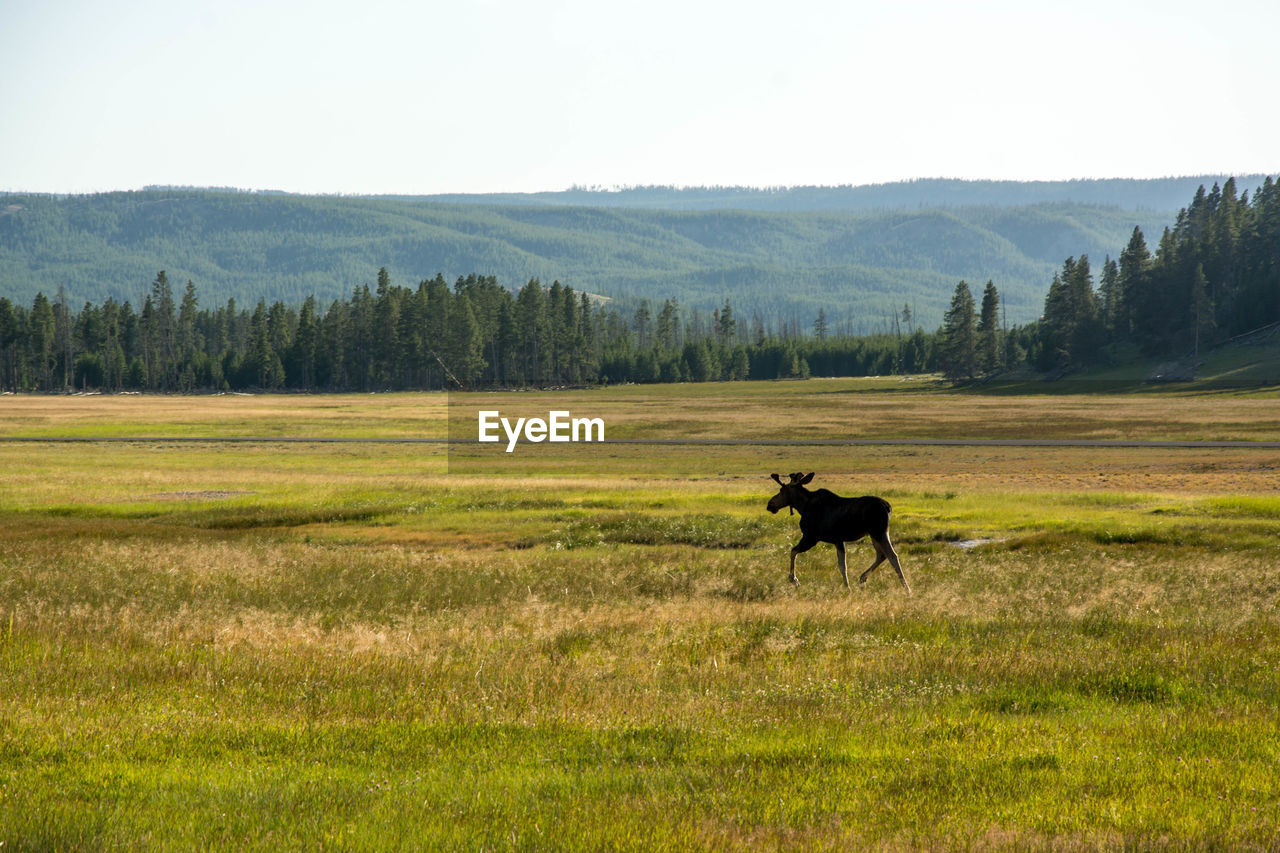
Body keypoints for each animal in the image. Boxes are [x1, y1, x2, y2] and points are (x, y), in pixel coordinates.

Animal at [762, 471, 906, 591]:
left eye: (781, 490)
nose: (770, 505)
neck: (802, 506)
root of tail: (888, 507)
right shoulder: (838, 540)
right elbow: (842, 565)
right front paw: (847, 587)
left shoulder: (811, 537)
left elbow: (793, 551)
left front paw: (794, 579)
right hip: (874, 534)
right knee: (881, 555)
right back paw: (862, 578)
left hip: (879, 532)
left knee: (892, 555)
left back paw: (906, 589)